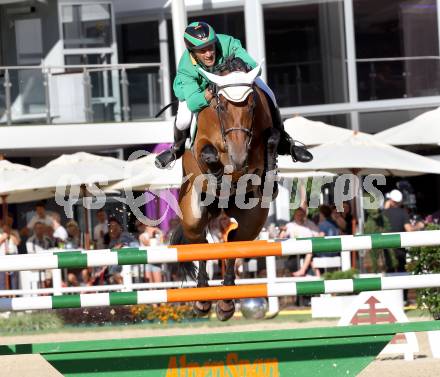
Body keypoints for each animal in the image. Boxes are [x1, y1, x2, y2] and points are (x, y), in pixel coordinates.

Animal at [171, 56, 278, 320]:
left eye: (251, 105)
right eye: (221, 108)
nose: (238, 158)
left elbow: (272, 138)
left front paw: (269, 169)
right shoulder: (201, 148)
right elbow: (208, 154)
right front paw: (219, 177)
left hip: (252, 220)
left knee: (233, 243)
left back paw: (226, 303)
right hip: (192, 214)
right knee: (200, 244)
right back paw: (202, 300)